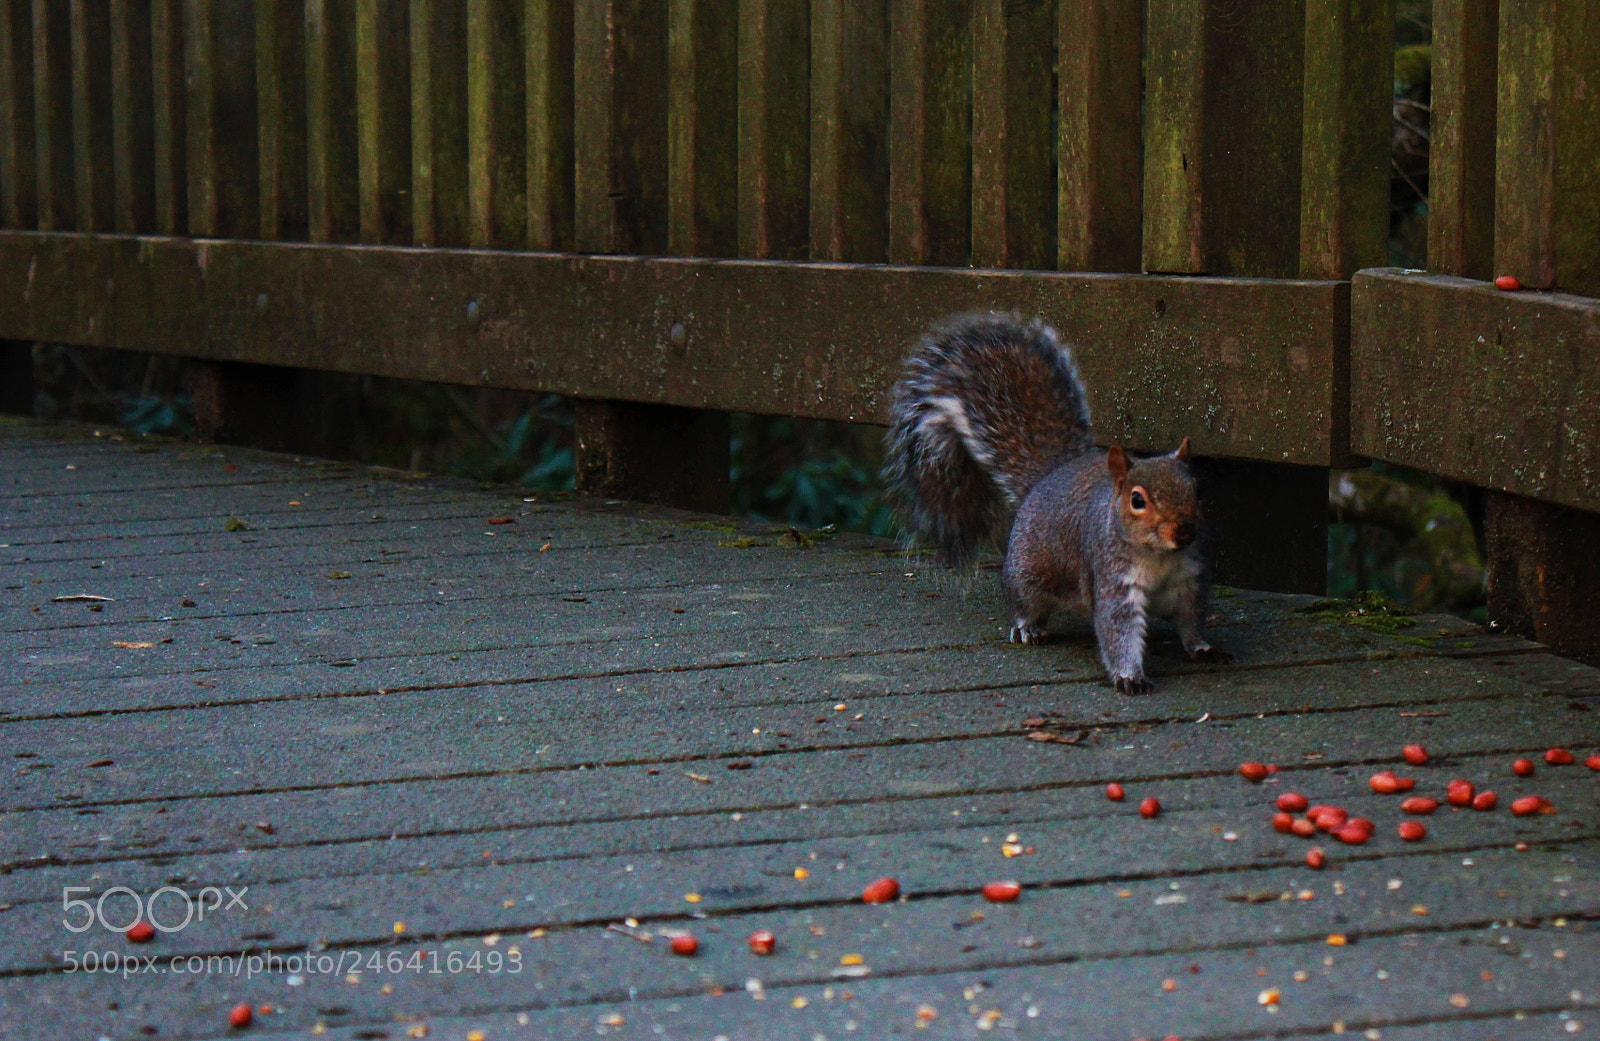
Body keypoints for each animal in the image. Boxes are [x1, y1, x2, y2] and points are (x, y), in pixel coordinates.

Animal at [882, 313, 1228, 693]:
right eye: (1137, 500)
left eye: (1197, 490)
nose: (1184, 532)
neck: (1159, 556)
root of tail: (1049, 475)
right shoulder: (1113, 579)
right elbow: (1118, 630)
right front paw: (1129, 675)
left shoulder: (1189, 578)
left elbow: (1190, 619)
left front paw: (1203, 647)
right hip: (1027, 571)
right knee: (1024, 601)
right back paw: (1027, 627)